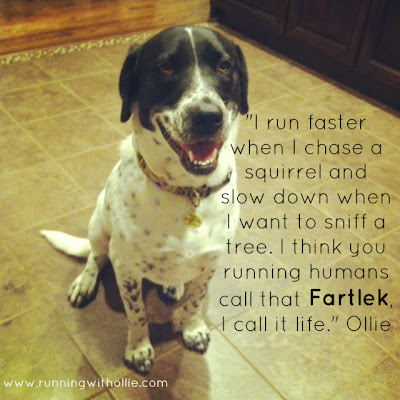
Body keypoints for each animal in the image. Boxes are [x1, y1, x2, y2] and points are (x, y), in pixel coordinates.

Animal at [41, 25, 248, 375]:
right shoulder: (126, 268)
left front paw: (192, 329)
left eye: (224, 66)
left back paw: (172, 285)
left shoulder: (209, 264)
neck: (188, 191)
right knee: (95, 256)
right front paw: (138, 350)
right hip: (98, 225)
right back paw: (86, 282)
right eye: (165, 68)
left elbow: (195, 301)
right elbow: (137, 315)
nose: (208, 117)